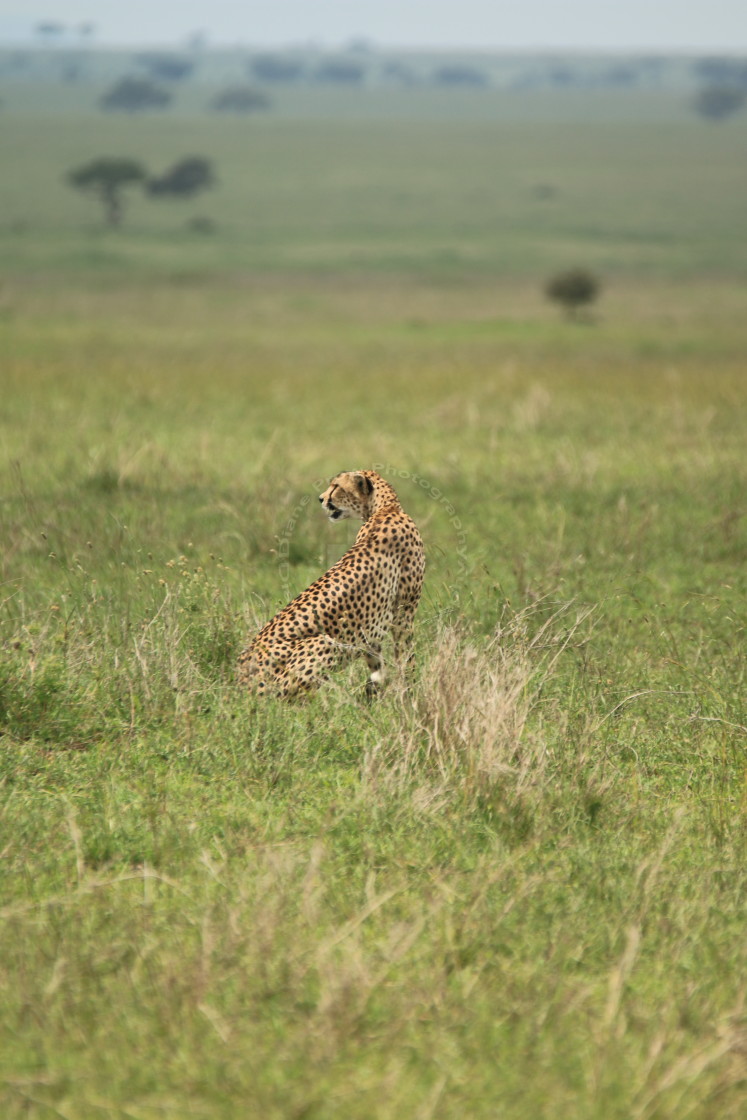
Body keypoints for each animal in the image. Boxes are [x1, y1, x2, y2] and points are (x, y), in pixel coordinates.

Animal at [239, 472, 425, 698]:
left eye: (336, 486)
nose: (320, 498)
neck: (385, 508)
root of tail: (239, 680)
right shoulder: (403, 613)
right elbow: (406, 657)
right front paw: (410, 692)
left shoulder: (373, 624)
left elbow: (378, 665)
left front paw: (378, 695)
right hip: (323, 643)